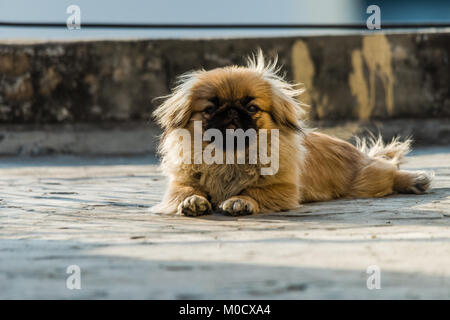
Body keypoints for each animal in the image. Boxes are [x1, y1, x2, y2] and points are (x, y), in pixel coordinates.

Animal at [151, 52, 432, 218]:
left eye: (251, 108)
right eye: (210, 109)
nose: (231, 111)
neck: (231, 157)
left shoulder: (282, 188)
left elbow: (254, 191)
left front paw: (239, 201)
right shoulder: (180, 183)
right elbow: (186, 191)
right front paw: (193, 201)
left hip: (365, 181)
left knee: (388, 171)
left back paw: (416, 180)